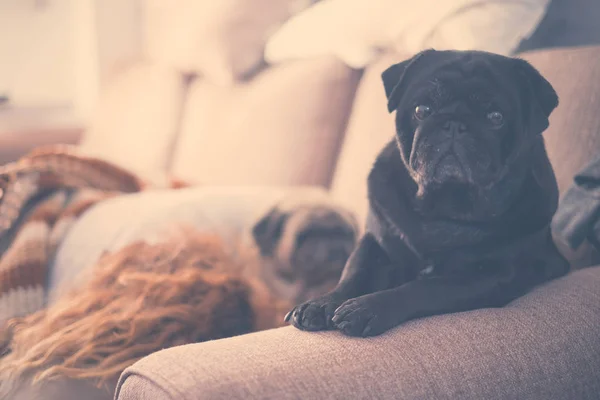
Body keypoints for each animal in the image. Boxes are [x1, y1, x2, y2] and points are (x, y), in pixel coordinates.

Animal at [284, 49, 568, 338]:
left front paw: (368, 308)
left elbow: (427, 286)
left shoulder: (490, 275)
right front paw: (322, 303)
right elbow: (354, 273)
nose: (454, 124)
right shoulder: (375, 242)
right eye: (422, 110)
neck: (444, 208)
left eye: (496, 117)